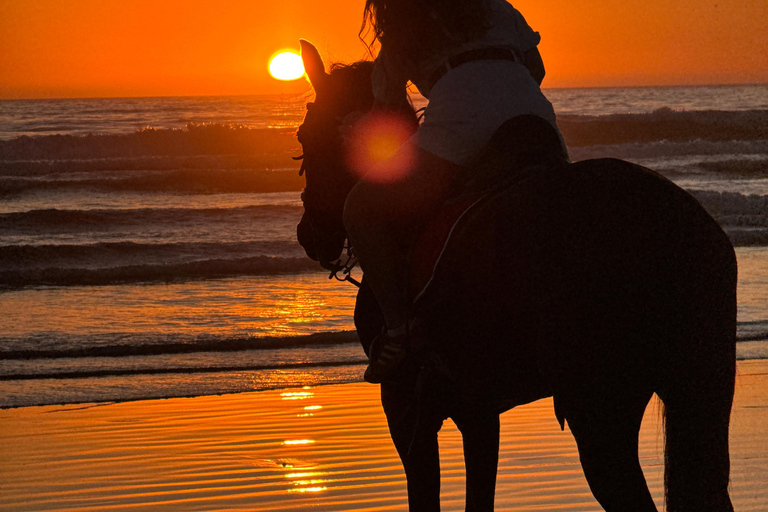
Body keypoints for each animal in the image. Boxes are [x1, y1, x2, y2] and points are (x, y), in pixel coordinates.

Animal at [294, 40, 737, 512]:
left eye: (303, 137)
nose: (309, 234)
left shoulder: (404, 401)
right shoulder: (476, 407)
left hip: (599, 415)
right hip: (699, 390)